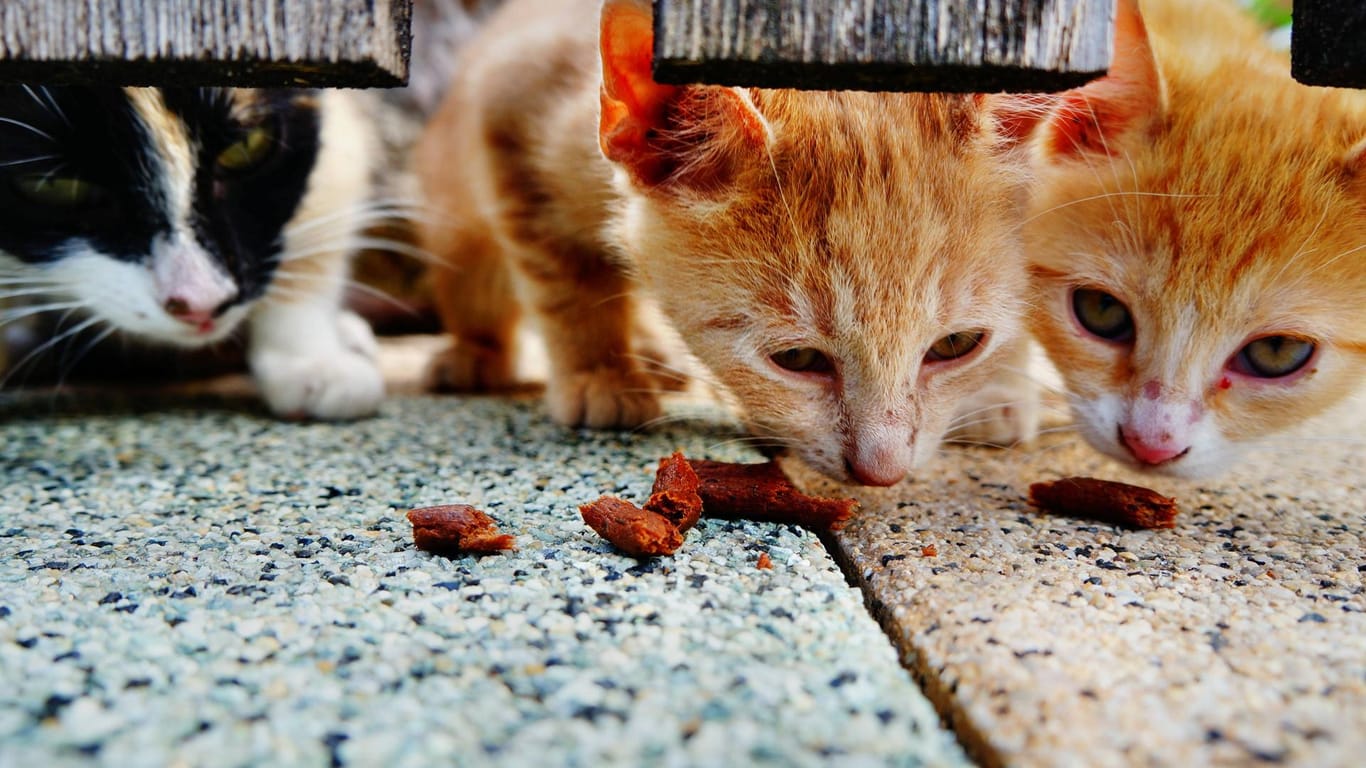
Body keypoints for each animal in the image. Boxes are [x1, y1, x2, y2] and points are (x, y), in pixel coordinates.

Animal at [415, 0, 1032, 481]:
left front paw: (999, 390)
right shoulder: (511, 101)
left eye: (956, 345)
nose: (884, 473)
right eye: (797, 358)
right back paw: (476, 354)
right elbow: (567, 279)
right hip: (453, 208)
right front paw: (599, 372)